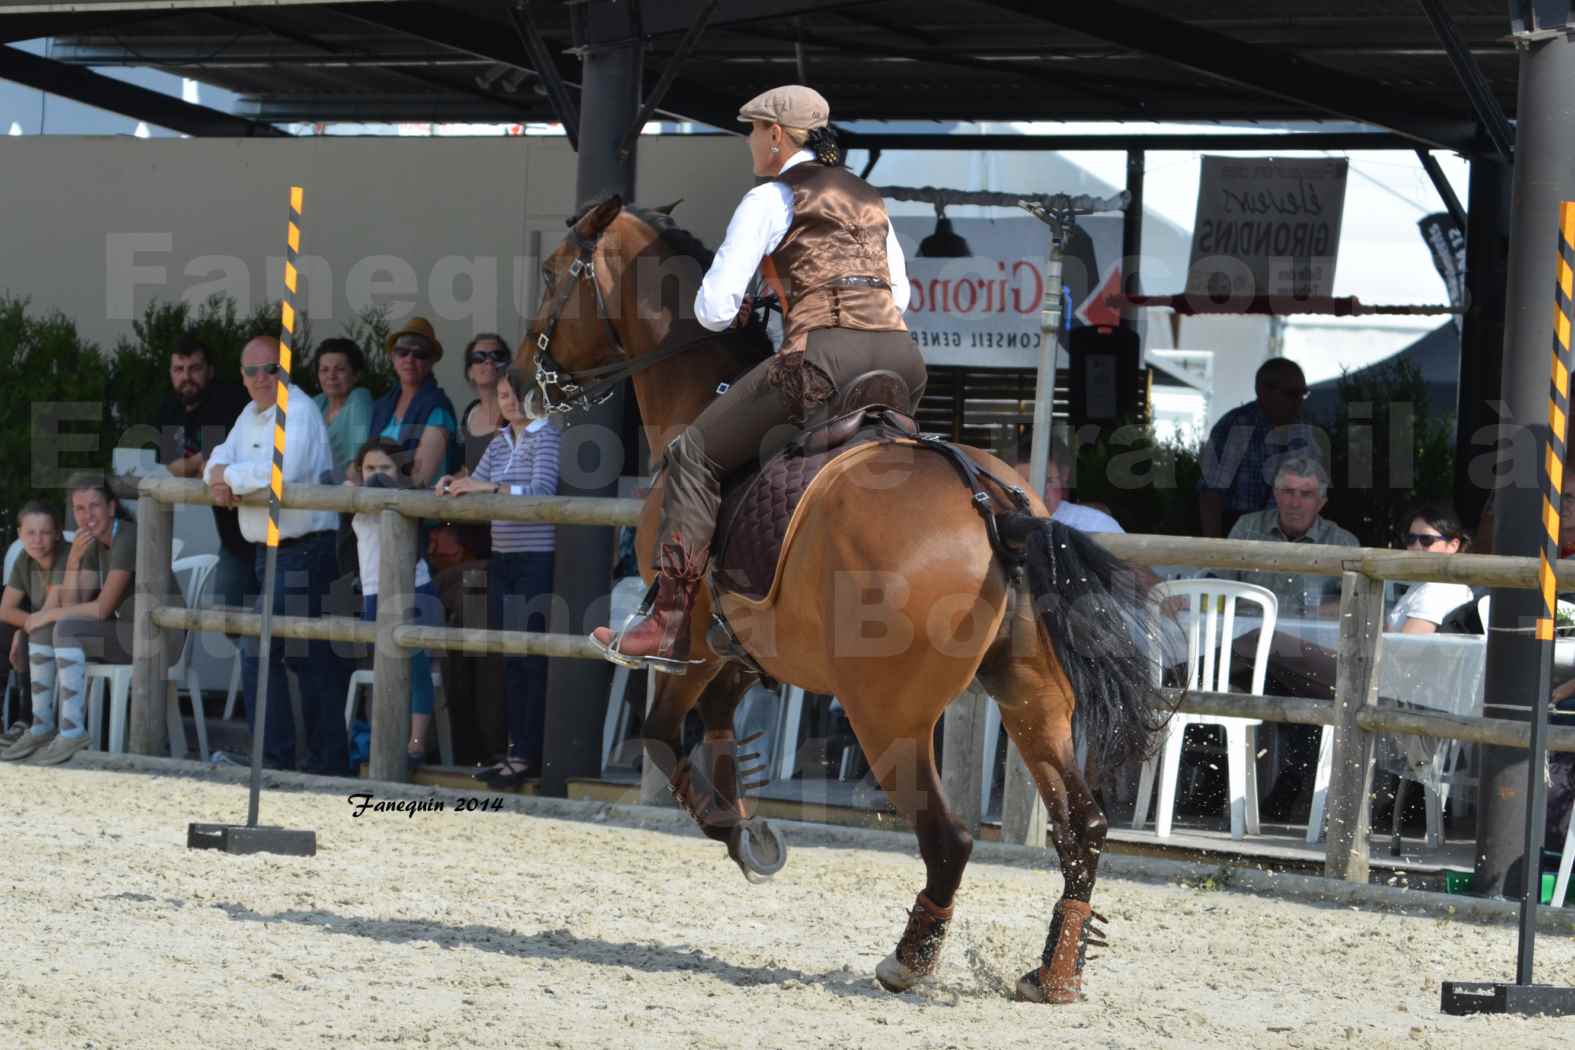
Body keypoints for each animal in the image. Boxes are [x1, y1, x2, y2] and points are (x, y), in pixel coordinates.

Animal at [522, 192, 1178, 1007]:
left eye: (555, 272)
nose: (527, 378)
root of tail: (994, 503)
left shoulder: (694, 645)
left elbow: (661, 734)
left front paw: (740, 834)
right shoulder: (747, 648)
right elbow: (716, 725)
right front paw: (745, 822)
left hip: (887, 717)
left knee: (950, 837)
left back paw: (909, 960)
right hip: (1031, 694)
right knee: (1080, 826)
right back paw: (1053, 973)